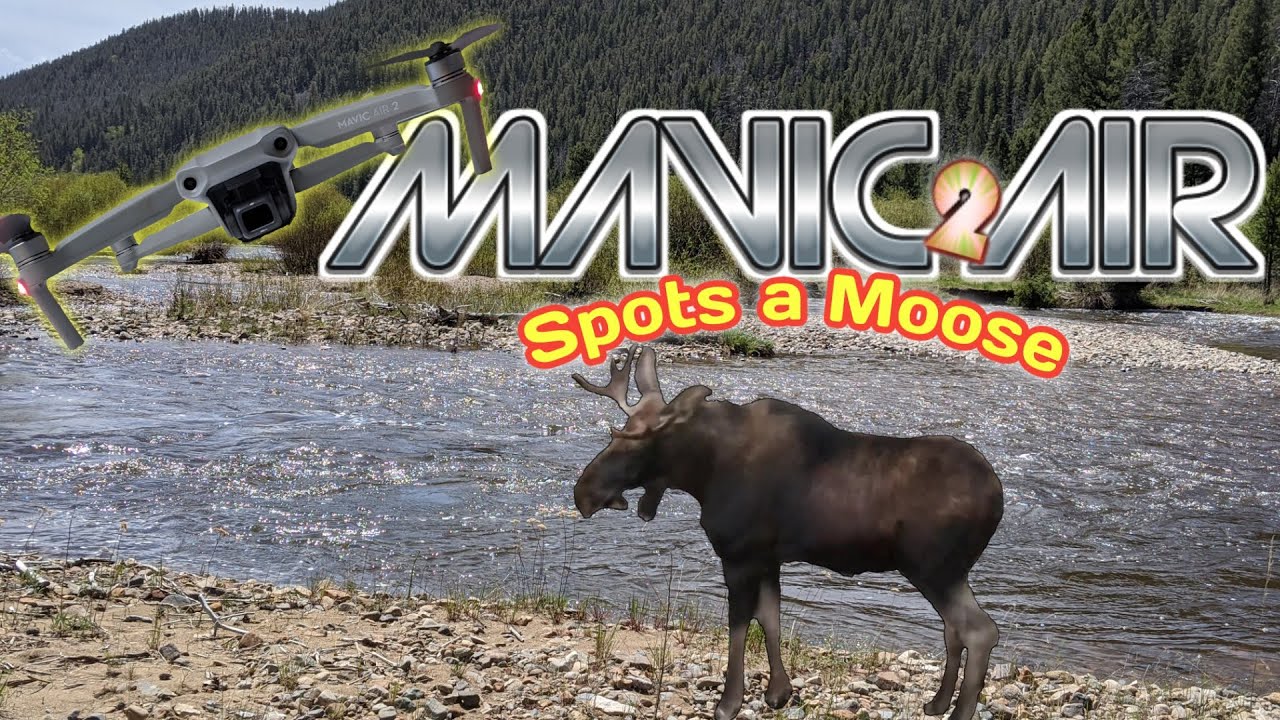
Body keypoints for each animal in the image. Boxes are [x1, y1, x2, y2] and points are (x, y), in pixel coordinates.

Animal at [570, 346, 1004, 720]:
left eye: (631, 445)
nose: (582, 492)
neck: (703, 473)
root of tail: (998, 496)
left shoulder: (739, 555)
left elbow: (740, 626)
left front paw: (728, 703)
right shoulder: (767, 558)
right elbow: (771, 618)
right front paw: (778, 693)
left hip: (933, 567)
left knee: (980, 630)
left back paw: (958, 712)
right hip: (946, 571)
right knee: (954, 630)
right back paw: (937, 702)